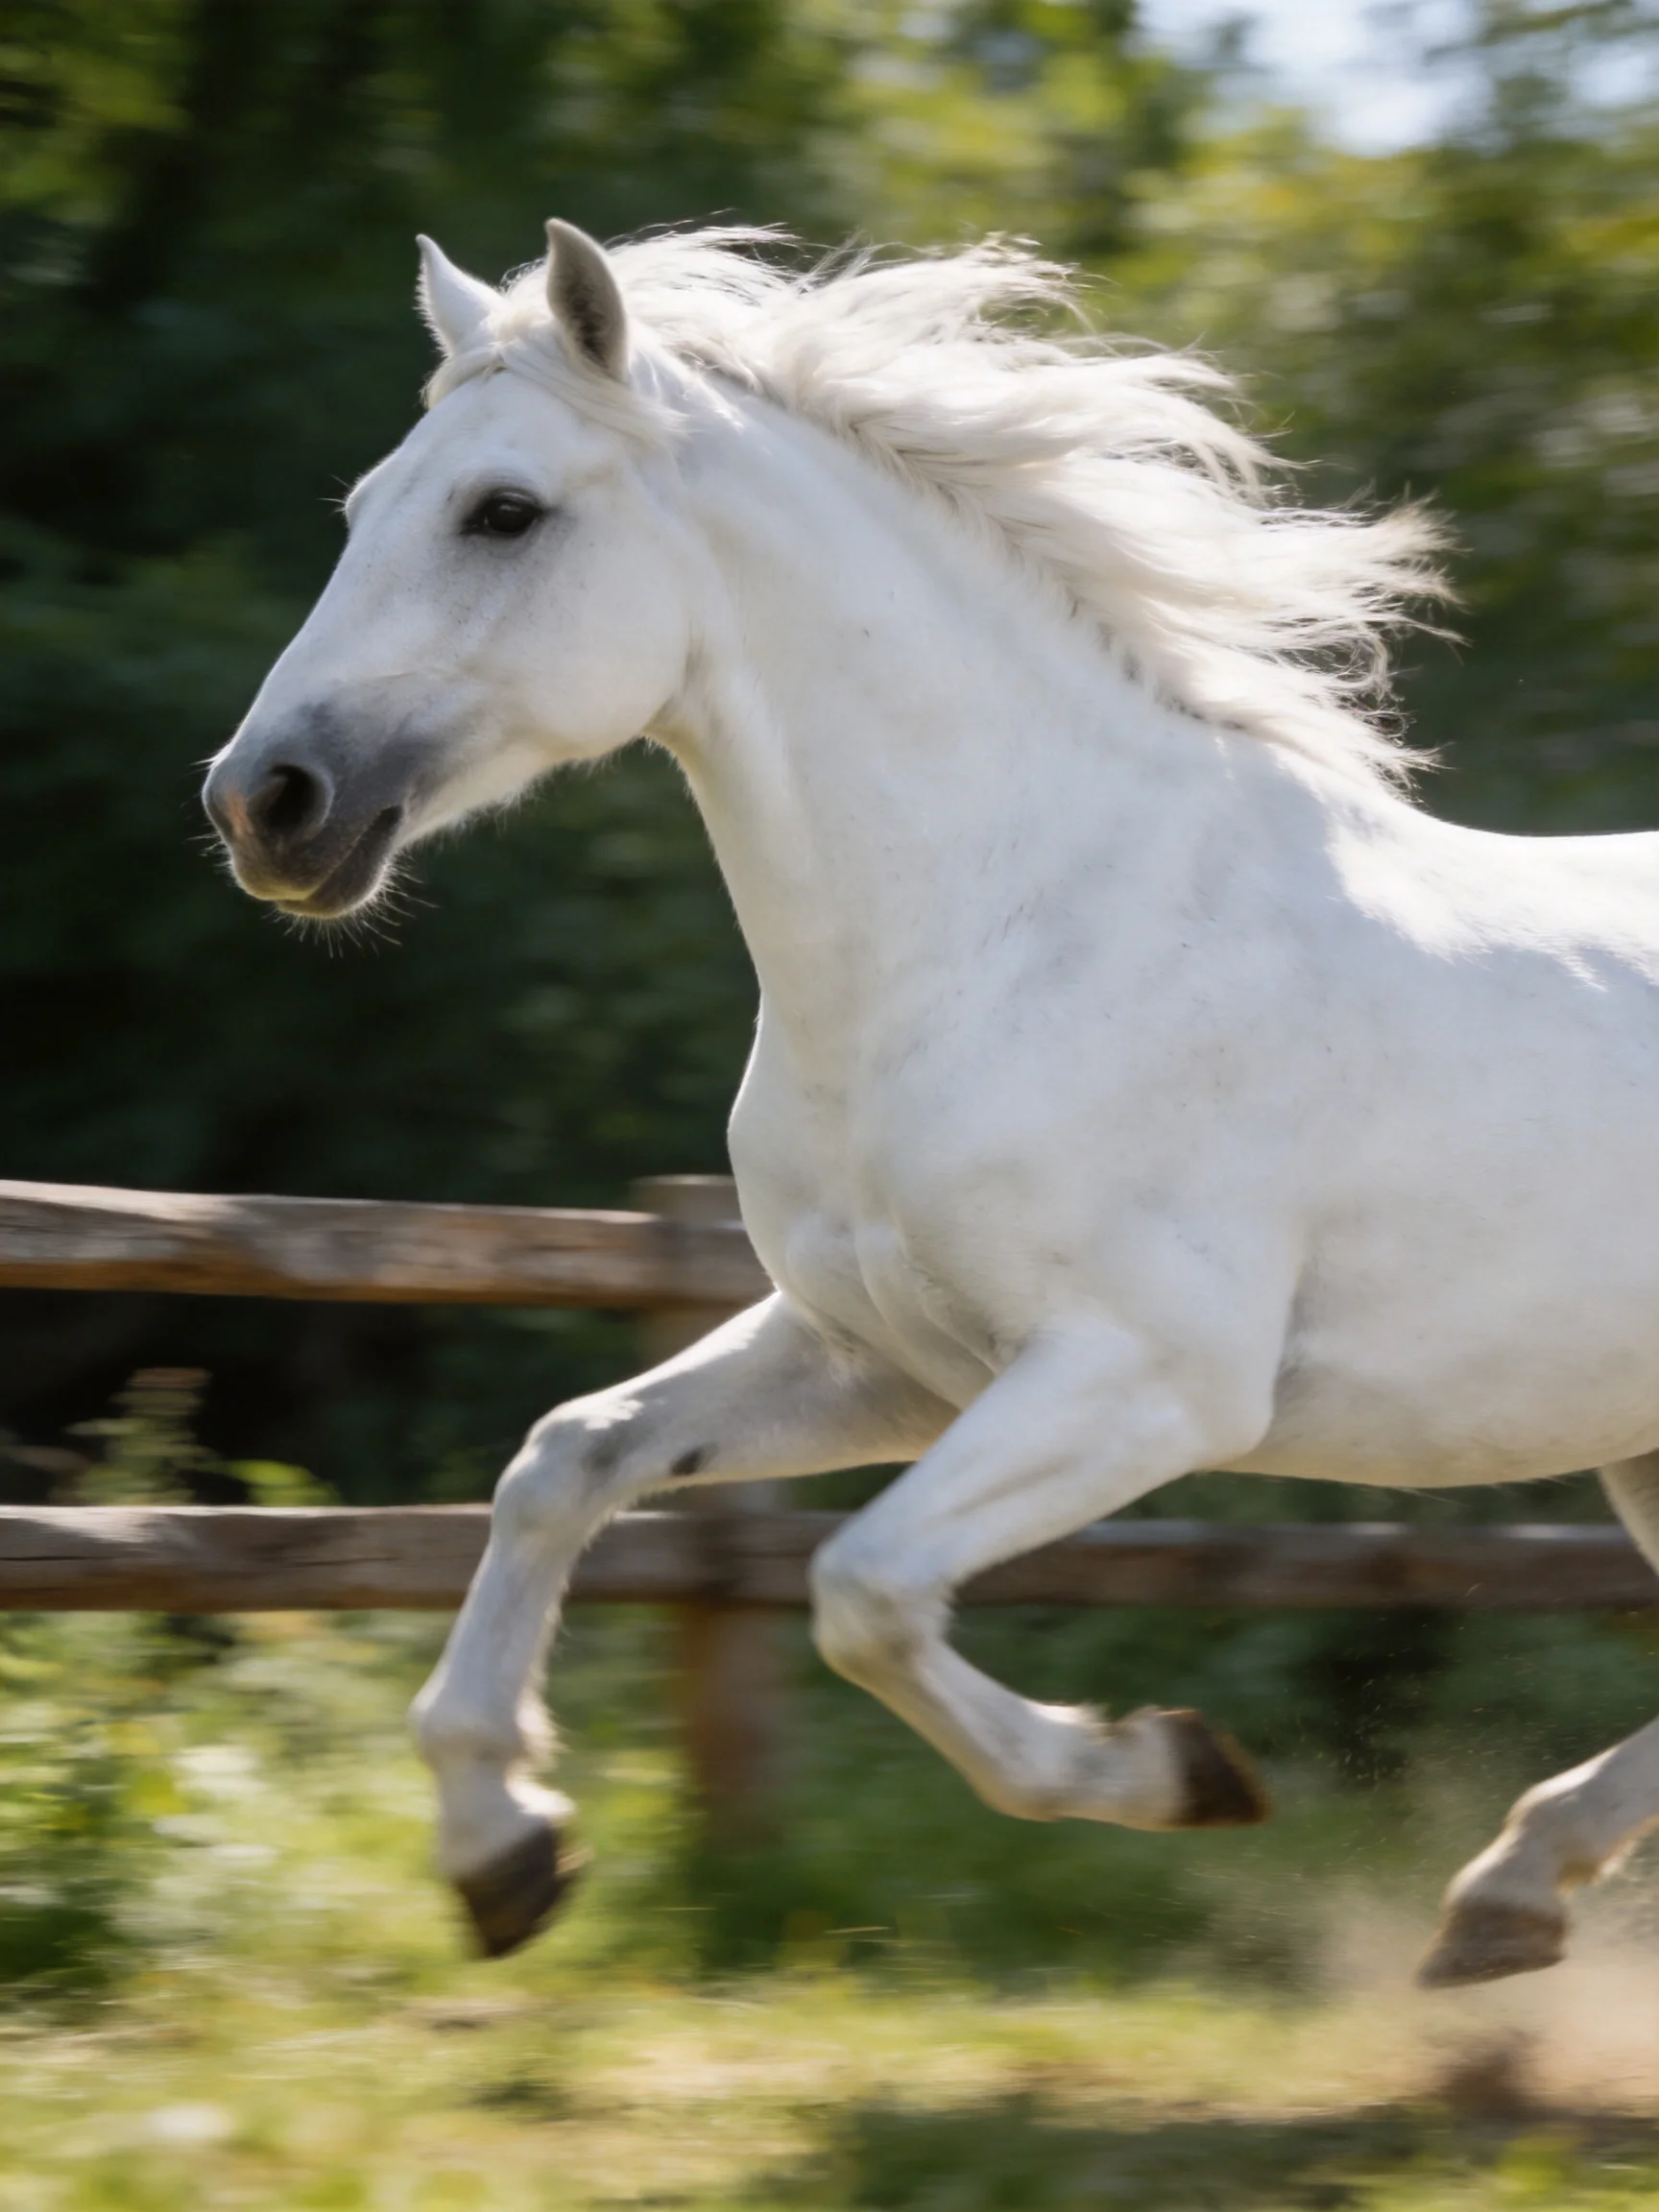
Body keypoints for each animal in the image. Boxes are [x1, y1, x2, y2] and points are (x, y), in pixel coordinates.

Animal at [202, 219, 1659, 1989]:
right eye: (362, 507)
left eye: (503, 510)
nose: (265, 804)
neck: (1006, 934)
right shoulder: (882, 1357)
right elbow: (564, 1459)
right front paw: (503, 1847)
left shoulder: (1148, 1382)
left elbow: (864, 1590)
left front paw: (1173, 1769)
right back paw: (1508, 1893)